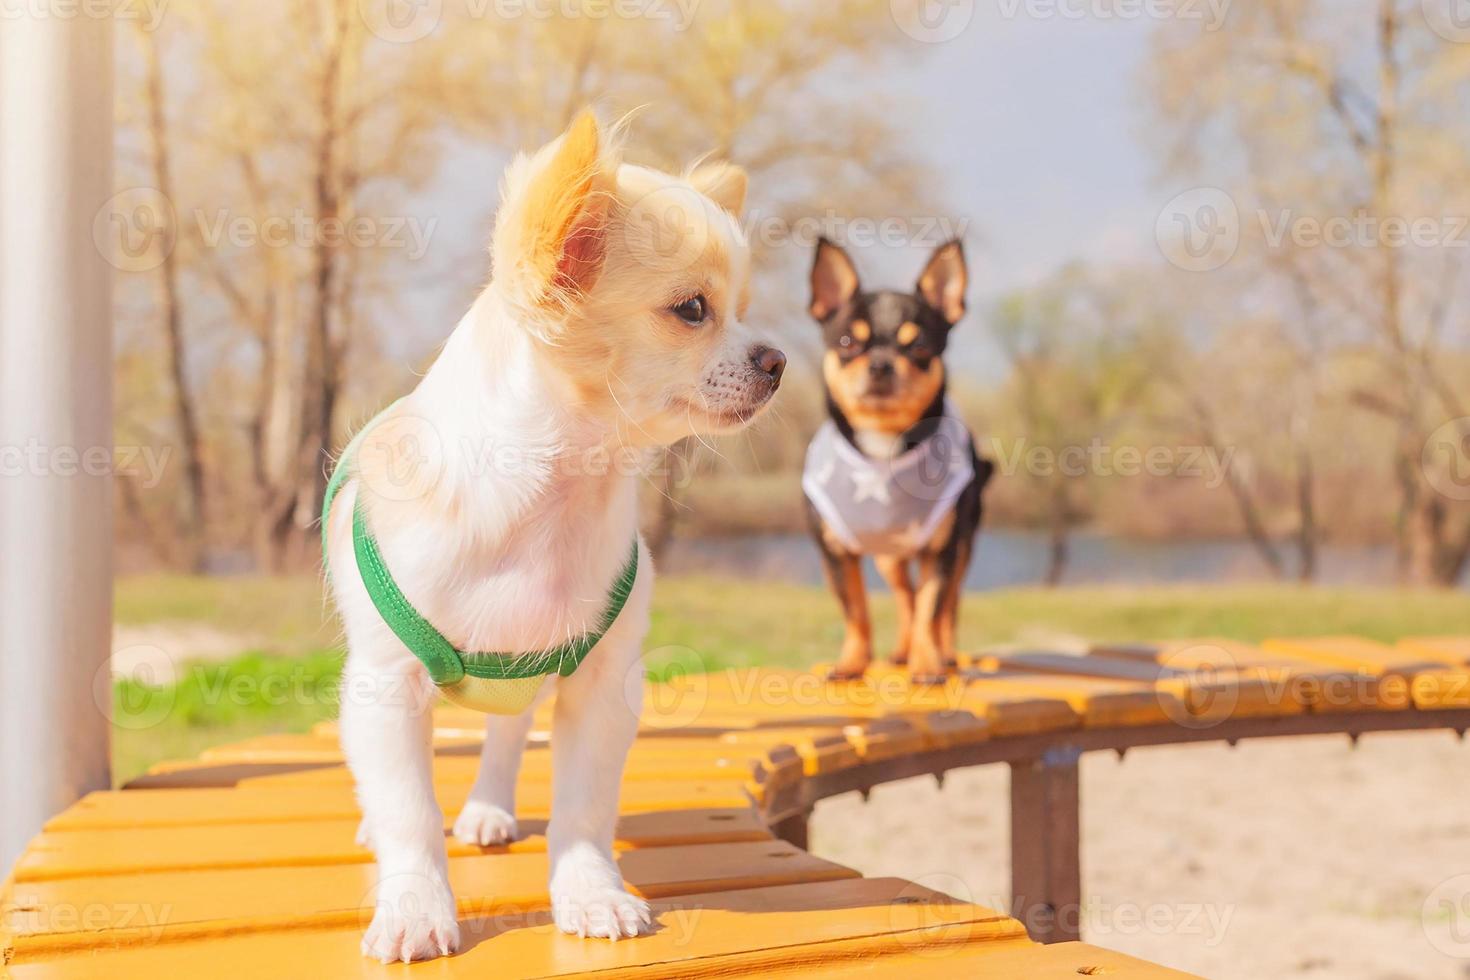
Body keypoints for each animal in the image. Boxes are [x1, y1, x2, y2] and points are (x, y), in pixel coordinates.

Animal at [321, 110, 782, 963]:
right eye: (692, 310)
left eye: (742, 309)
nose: (777, 359)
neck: (554, 500)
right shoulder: (385, 687)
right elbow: (409, 810)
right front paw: (415, 905)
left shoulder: (602, 688)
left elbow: (584, 808)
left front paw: (589, 894)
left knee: (505, 738)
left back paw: (489, 809)